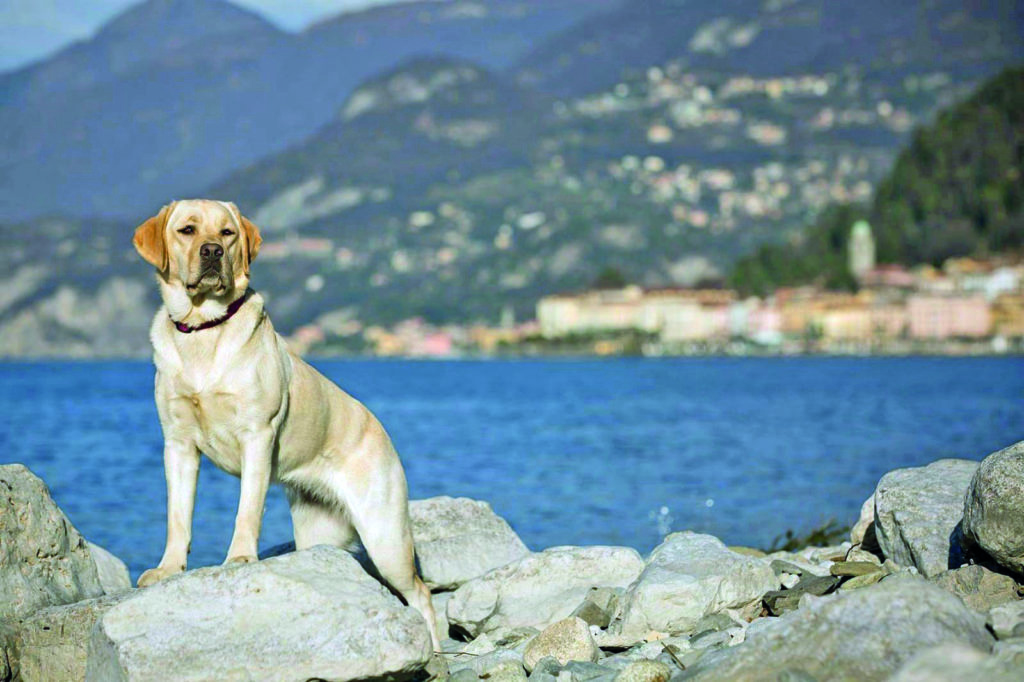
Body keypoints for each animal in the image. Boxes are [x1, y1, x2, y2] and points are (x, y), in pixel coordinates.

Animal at [134, 199, 438, 647]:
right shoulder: (178, 445)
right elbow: (178, 515)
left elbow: (247, 510)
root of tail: (380, 428)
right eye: (187, 230)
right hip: (319, 533)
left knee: (421, 593)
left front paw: (240, 557)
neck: (205, 331)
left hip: (386, 536)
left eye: (227, 233)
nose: (212, 252)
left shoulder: (257, 436)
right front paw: (168, 568)